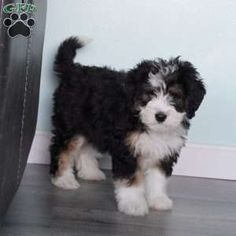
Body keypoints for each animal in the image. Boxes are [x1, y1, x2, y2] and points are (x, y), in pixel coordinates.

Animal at [50, 37, 206, 216]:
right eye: (149, 94)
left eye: (174, 95)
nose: (160, 116)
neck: (145, 122)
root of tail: (73, 70)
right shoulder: (127, 149)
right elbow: (132, 179)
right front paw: (134, 205)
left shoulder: (164, 151)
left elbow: (157, 177)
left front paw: (158, 200)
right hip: (70, 124)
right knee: (61, 149)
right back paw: (63, 179)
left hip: (93, 126)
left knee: (85, 147)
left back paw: (90, 173)